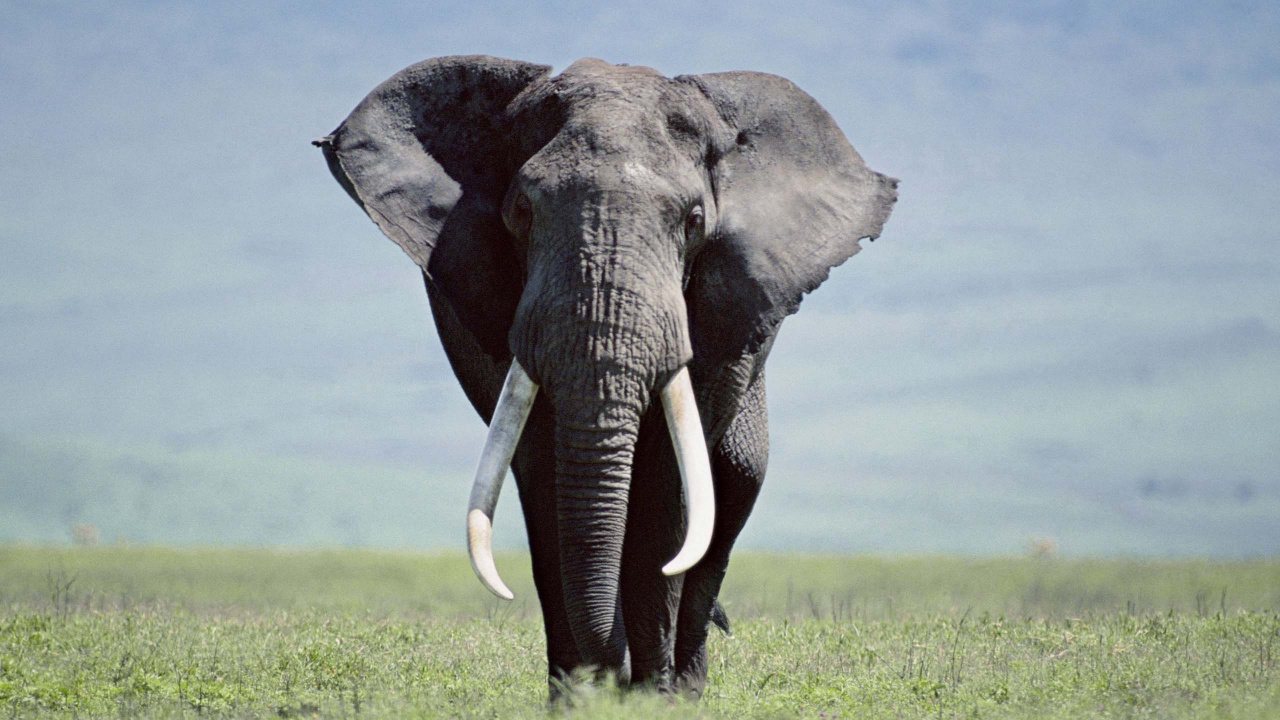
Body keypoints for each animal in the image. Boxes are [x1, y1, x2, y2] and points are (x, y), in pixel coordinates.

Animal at [315, 55, 897, 697]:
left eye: (694, 221)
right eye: (521, 213)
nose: (614, 676)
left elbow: (669, 480)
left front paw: (651, 697)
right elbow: (542, 468)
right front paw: (580, 696)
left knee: (737, 482)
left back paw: (686, 686)